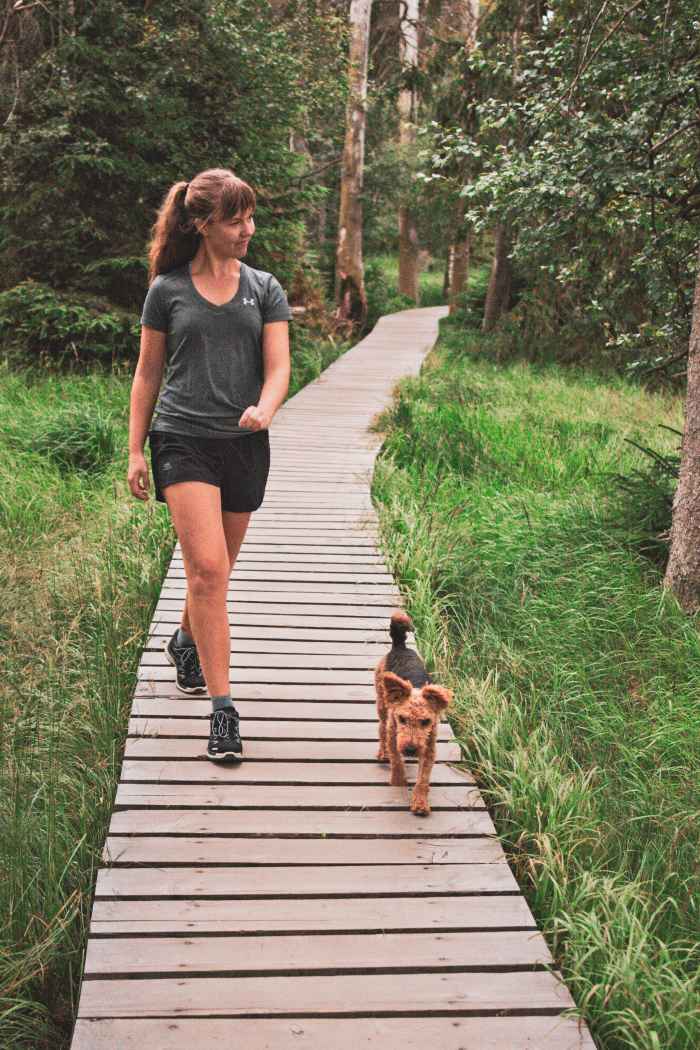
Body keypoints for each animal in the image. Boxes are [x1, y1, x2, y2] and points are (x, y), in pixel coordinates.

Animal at [375, 613, 451, 814]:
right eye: (402, 718)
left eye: (426, 721)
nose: (410, 750)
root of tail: (400, 646)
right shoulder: (394, 735)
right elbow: (396, 760)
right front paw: (398, 780)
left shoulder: (429, 748)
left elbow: (423, 778)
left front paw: (420, 803)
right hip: (382, 705)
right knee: (381, 729)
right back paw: (382, 753)